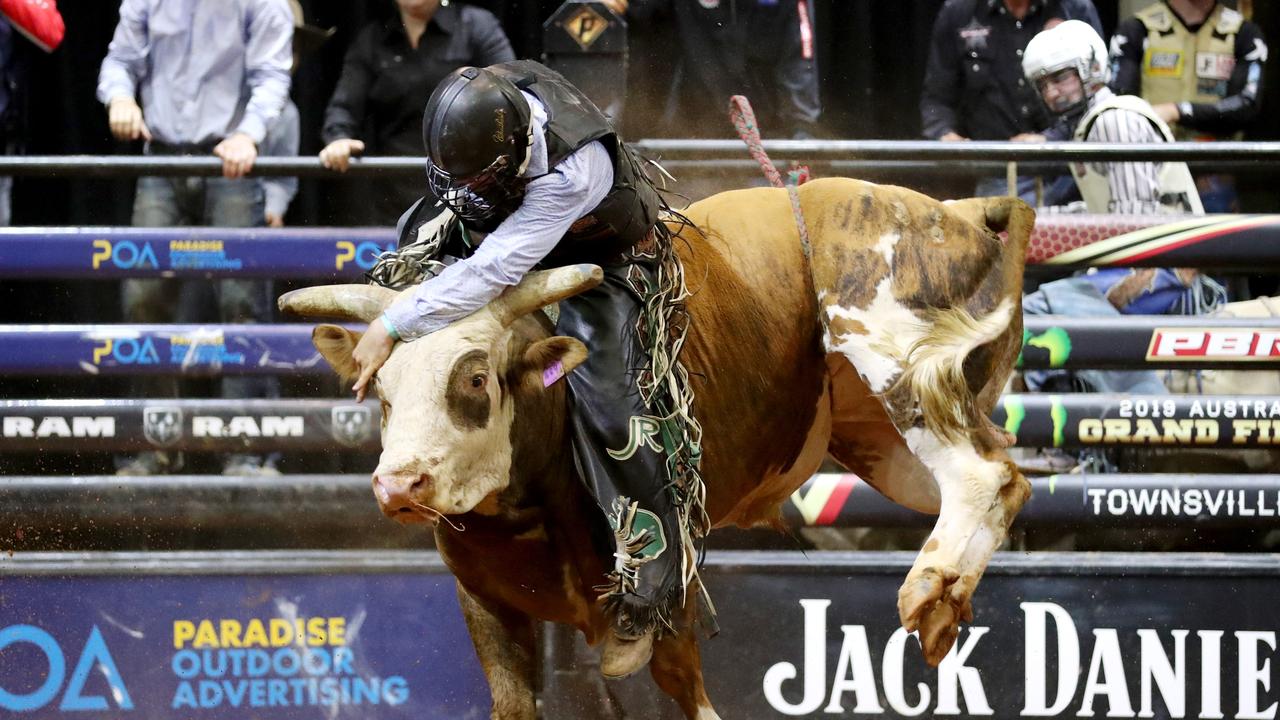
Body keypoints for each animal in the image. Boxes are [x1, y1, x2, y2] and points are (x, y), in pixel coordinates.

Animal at [282, 175, 1039, 717]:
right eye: (380, 390)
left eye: (473, 377)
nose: (400, 485)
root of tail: (961, 213)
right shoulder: (486, 607)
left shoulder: (667, 589)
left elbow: (684, 687)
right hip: (886, 443)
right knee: (1009, 478)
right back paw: (945, 604)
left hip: (895, 354)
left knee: (979, 472)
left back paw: (928, 588)